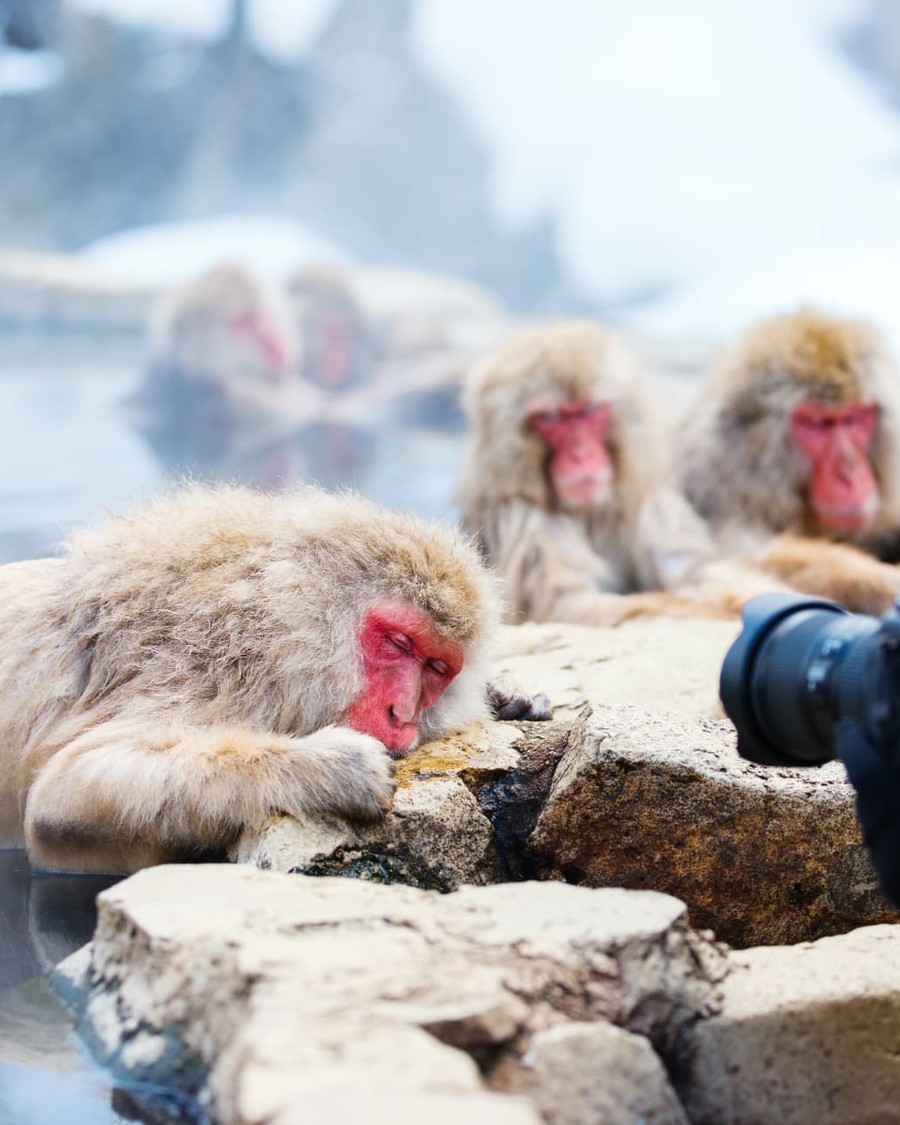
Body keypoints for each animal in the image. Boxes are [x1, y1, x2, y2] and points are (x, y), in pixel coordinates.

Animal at [0, 485, 548, 874]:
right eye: (398, 644)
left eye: (436, 668)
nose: (402, 714)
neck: (278, 621)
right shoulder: (214, 672)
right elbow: (64, 794)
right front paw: (329, 767)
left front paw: (505, 695)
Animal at [456, 320, 771, 627]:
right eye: (551, 417)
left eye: (589, 411)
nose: (581, 454)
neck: (588, 512)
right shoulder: (522, 517)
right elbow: (568, 604)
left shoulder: (646, 499)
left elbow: (694, 570)